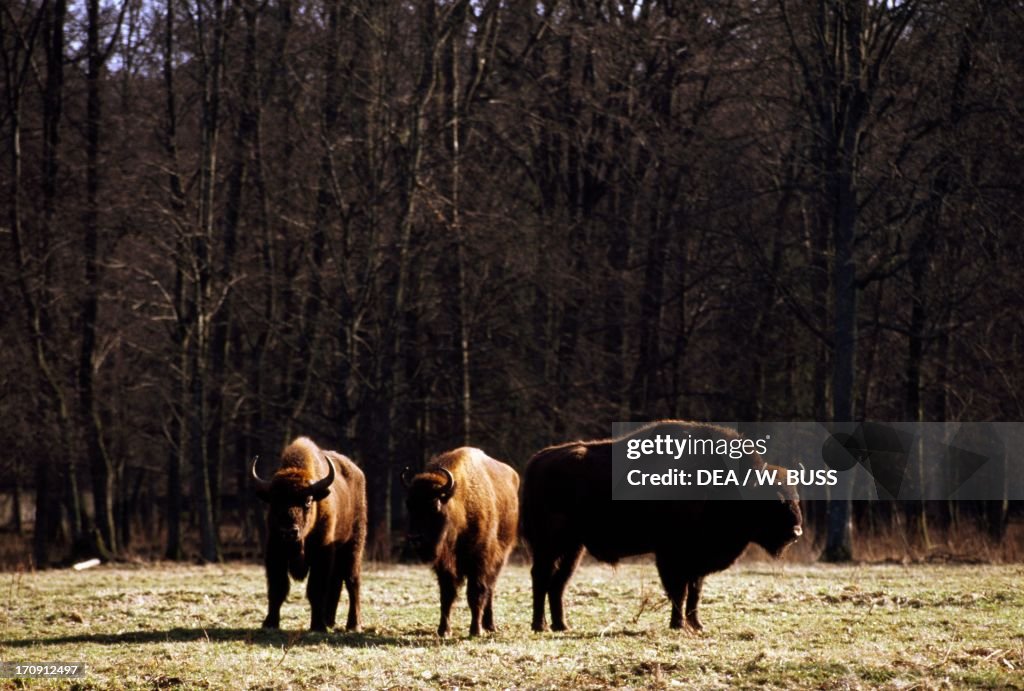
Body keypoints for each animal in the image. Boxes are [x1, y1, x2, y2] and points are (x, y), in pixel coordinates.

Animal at [252, 438, 368, 630]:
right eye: (274, 501)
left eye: (307, 500)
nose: (288, 531)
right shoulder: (275, 551)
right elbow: (278, 588)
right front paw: (270, 623)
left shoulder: (322, 553)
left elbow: (315, 589)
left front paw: (317, 626)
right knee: (336, 582)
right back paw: (329, 621)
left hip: (354, 544)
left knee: (352, 581)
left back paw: (353, 624)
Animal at [401, 448, 520, 638]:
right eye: (409, 505)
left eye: (435, 506)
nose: (415, 539)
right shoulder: (444, 566)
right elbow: (447, 596)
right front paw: (444, 630)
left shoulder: (479, 562)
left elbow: (475, 593)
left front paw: (475, 630)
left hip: (500, 559)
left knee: (490, 589)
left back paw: (489, 625)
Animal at [524, 421, 802, 630]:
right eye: (775, 500)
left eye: (796, 497)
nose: (796, 532)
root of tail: (539, 459)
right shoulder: (672, 555)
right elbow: (679, 590)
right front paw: (678, 624)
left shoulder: (697, 559)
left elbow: (695, 591)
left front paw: (697, 625)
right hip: (550, 543)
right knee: (541, 576)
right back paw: (540, 626)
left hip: (573, 547)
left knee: (558, 582)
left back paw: (561, 625)